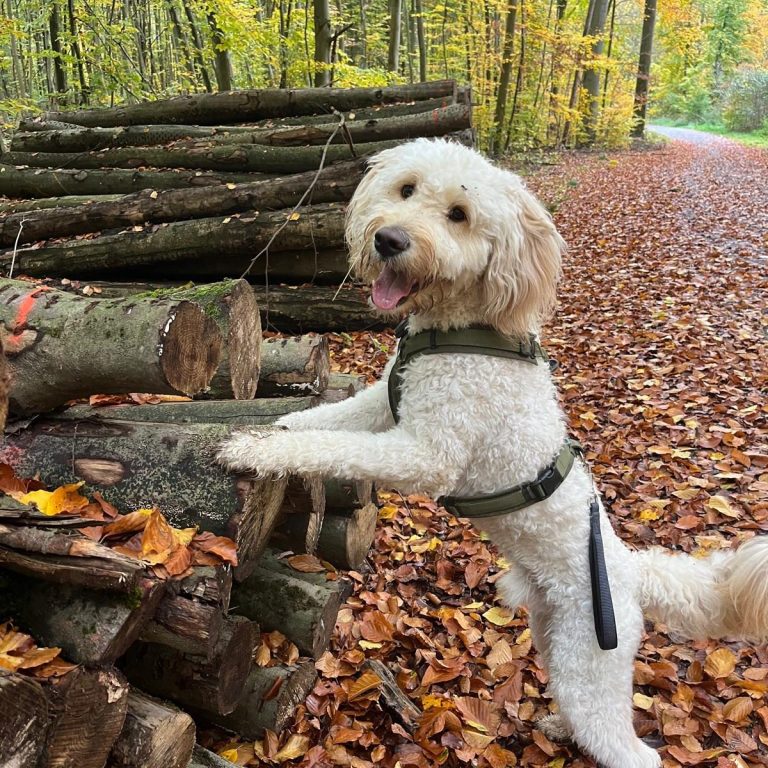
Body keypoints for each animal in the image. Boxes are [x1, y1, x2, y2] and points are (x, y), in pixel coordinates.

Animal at [216, 138, 768, 768]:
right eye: (406, 189)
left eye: (459, 215)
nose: (389, 240)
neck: (459, 331)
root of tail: (630, 572)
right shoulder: (385, 401)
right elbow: (324, 422)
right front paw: (267, 429)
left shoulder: (425, 452)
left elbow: (336, 446)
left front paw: (257, 450)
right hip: (554, 638)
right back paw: (556, 726)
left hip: (592, 657)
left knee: (630, 750)